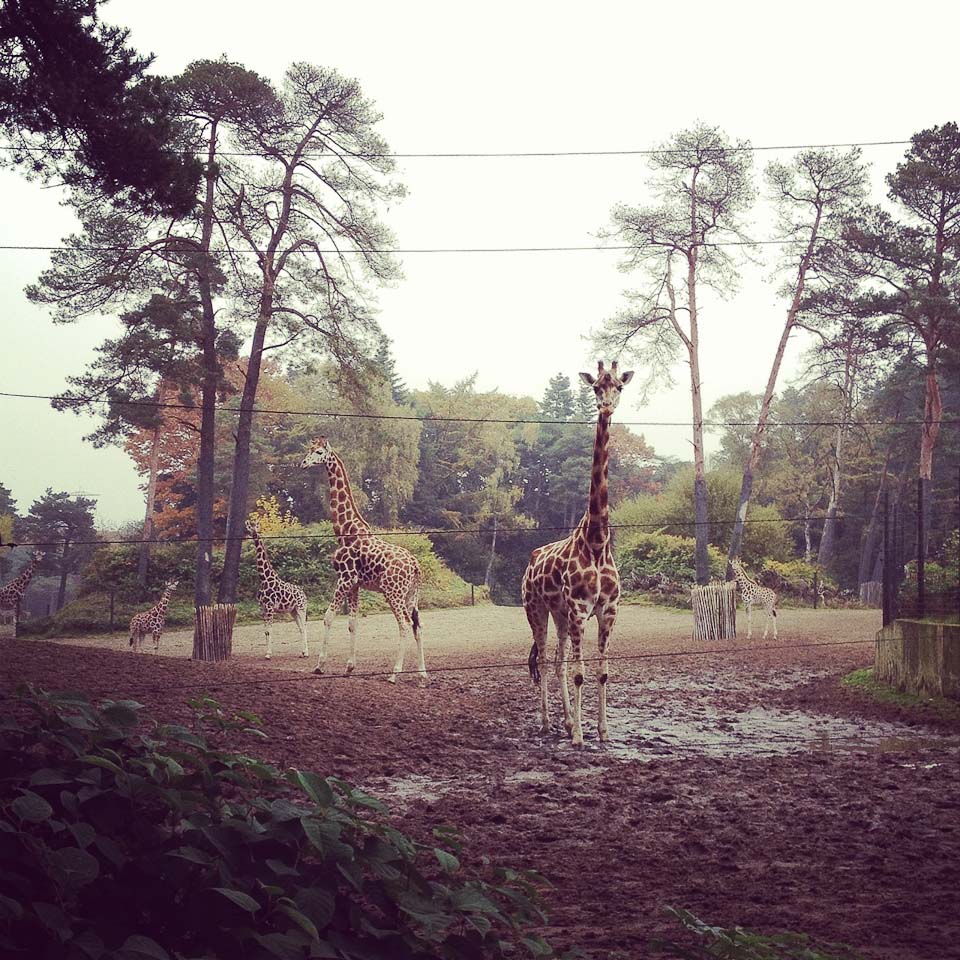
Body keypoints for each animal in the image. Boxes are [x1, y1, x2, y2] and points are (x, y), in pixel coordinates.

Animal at [246, 516, 310, 660]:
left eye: (256, 525)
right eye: (249, 526)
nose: (254, 532)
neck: (264, 579)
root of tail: (303, 592)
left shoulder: (270, 608)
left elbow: (269, 630)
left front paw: (269, 654)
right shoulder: (263, 608)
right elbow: (265, 631)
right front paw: (267, 652)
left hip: (301, 608)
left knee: (304, 627)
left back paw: (307, 653)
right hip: (293, 611)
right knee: (300, 627)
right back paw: (303, 652)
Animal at [296, 438, 424, 688]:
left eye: (319, 452)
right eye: (308, 450)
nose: (303, 463)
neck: (345, 531)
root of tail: (415, 566)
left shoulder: (344, 579)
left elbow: (328, 617)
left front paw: (319, 666)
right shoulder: (355, 584)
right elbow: (352, 623)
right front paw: (349, 668)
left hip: (393, 593)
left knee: (404, 625)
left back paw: (394, 674)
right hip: (410, 596)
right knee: (417, 626)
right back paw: (423, 675)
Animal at [520, 360, 632, 744]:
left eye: (619, 387)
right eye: (596, 386)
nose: (607, 406)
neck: (596, 541)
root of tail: (531, 560)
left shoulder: (608, 611)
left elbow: (602, 672)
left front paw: (602, 731)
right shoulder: (581, 610)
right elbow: (581, 672)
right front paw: (582, 737)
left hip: (560, 614)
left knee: (557, 661)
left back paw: (566, 722)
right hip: (536, 609)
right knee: (543, 660)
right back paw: (546, 723)